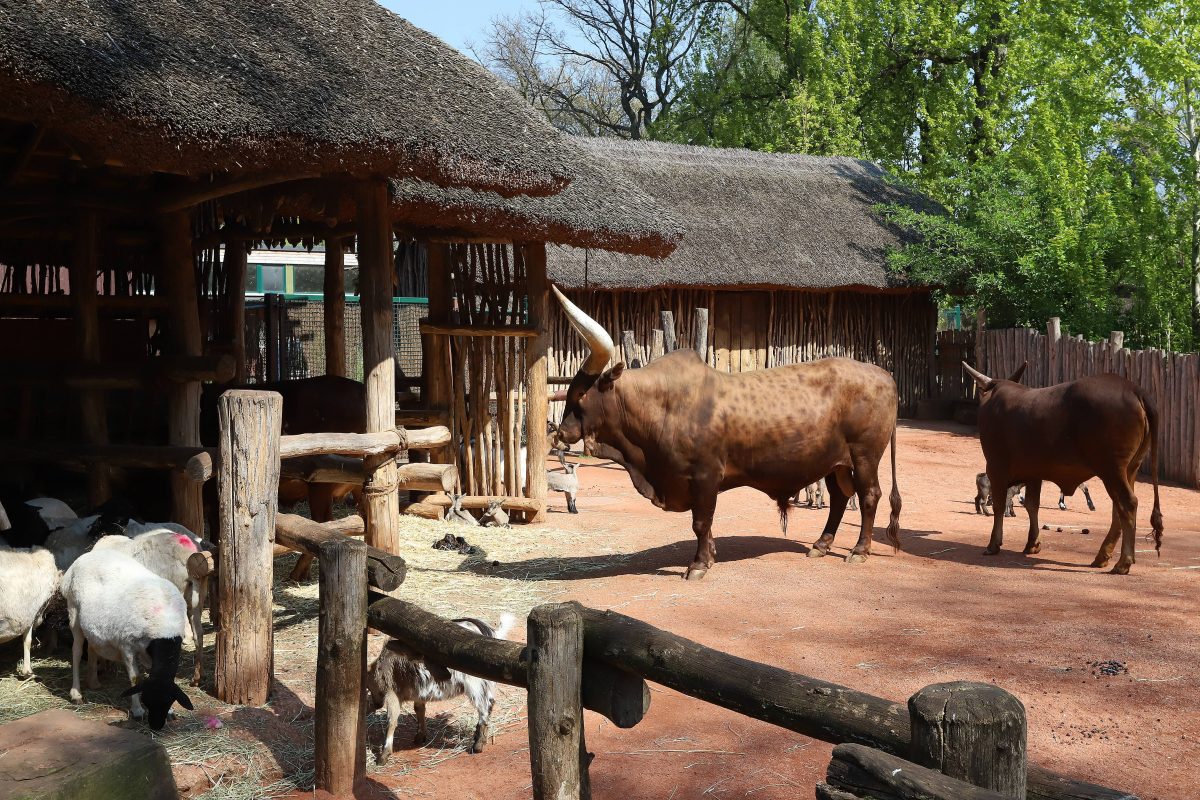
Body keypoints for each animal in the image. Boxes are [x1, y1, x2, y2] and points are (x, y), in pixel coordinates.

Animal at [59, 551, 192, 734]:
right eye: (147, 701)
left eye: (168, 702)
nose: (155, 726)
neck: (164, 627)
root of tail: (84, 556)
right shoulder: (127, 647)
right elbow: (134, 678)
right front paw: (137, 711)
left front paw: (171, 713)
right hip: (73, 612)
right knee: (77, 652)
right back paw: (76, 694)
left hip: (93, 626)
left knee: (92, 647)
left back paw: (93, 682)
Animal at [364, 614, 516, 762]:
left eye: (369, 688)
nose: (376, 704)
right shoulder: (418, 691)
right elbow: (419, 709)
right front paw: (420, 736)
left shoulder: (392, 693)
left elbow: (391, 720)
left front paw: (383, 755)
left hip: (475, 684)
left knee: (485, 707)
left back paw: (477, 745)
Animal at [549, 284, 897, 578]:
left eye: (581, 394)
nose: (562, 432)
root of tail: (884, 375)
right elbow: (703, 523)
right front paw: (709, 557)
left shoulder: (705, 476)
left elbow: (701, 522)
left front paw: (699, 564)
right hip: (834, 462)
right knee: (839, 498)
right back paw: (821, 545)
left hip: (865, 456)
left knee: (869, 496)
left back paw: (859, 550)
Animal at [960, 362, 1166, 575]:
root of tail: (1133, 389)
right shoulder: (1034, 473)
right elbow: (1032, 505)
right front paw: (1032, 543)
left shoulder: (996, 468)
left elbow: (1000, 506)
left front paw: (994, 543)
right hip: (1129, 468)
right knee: (1118, 509)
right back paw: (1103, 556)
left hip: (1112, 469)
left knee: (1127, 504)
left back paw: (1124, 561)